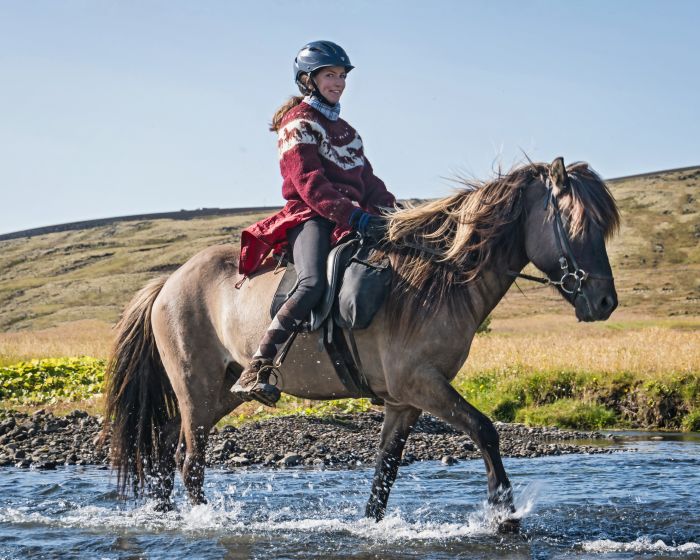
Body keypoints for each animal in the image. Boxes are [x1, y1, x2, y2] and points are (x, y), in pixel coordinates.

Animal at [100, 156, 616, 528]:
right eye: (580, 226)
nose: (605, 301)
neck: (438, 279)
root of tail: (167, 282)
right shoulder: (422, 384)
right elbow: (484, 428)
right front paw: (505, 514)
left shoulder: (403, 401)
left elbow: (385, 472)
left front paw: (370, 523)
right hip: (198, 389)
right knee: (190, 461)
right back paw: (203, 518)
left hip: (221, 392)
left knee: (167, 441)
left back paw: (165, 513)